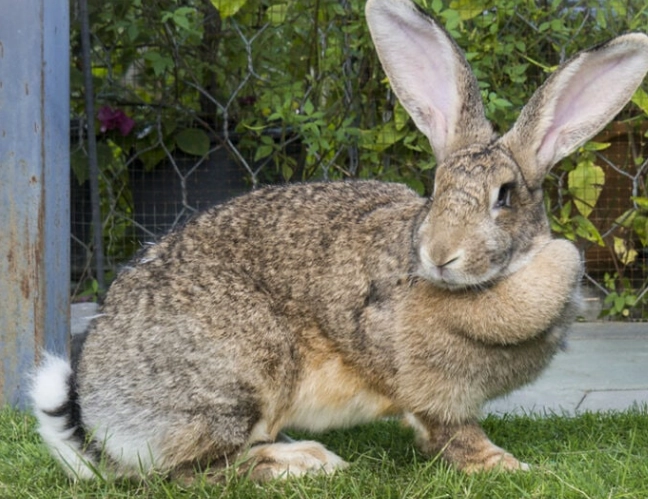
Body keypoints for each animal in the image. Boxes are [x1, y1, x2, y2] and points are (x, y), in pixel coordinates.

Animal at [31, 0, 648, 483]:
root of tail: (98, 413)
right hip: (240, 373)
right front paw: (510, 466)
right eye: (435, 189)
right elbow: (452, 433)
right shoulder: (425, 386)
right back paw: (303, 462)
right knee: (191, 472)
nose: (439, 254)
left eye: (505, 197)